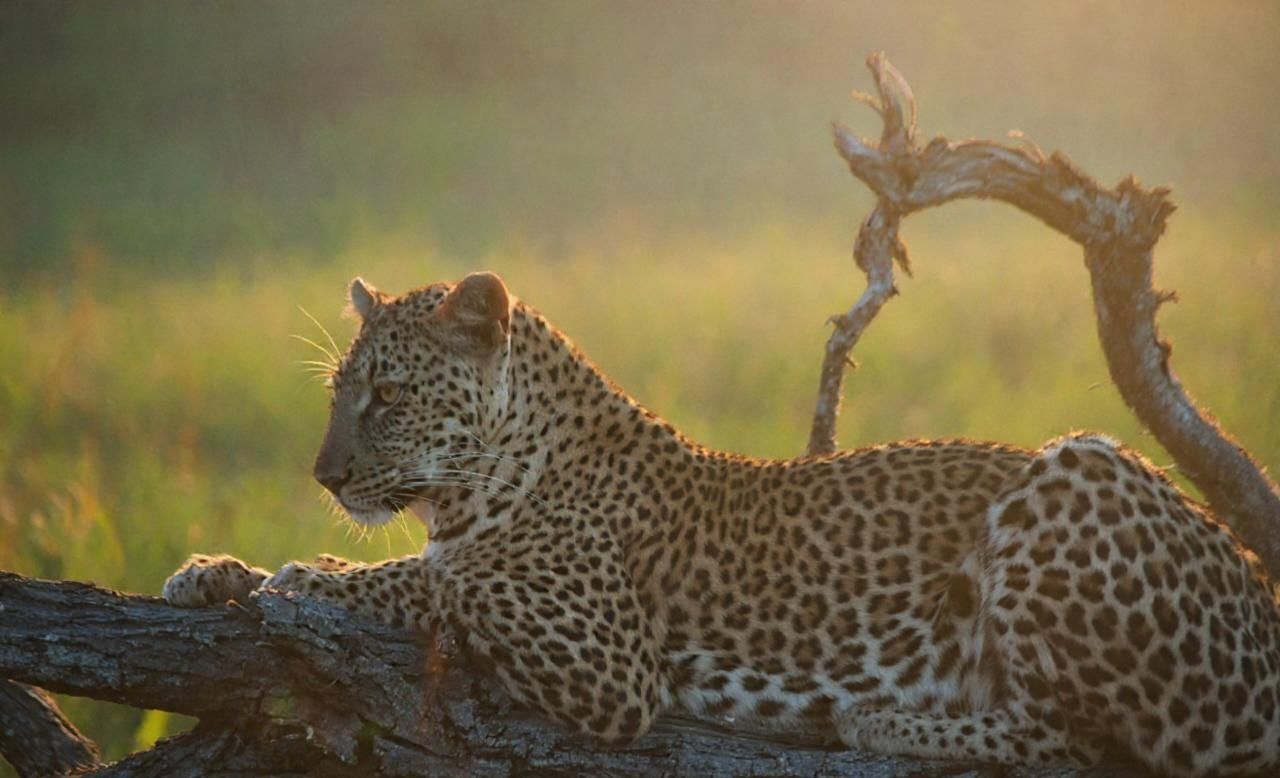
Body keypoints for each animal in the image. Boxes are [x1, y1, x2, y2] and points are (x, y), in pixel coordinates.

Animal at [165, 271, 1280, 776]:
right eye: (338, 393)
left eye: (388, 395)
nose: (325, 474)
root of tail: (1259, 596)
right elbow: (436, 567)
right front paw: (209, 572)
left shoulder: (609, 661)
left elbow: (445, 576)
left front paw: (304, 581)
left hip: (1075, 466)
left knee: (1084, 744)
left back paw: (875, 717)